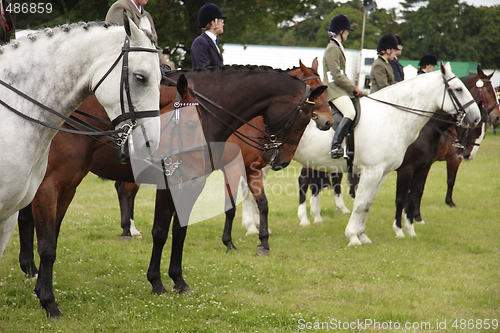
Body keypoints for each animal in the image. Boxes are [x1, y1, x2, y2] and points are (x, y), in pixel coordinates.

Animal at [16, 65, 328, 316]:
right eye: (305, 116)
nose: (280, 160)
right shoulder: (171, 182)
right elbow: (161, 231)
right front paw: (156, 281)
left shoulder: (194, 181)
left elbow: (180, 230)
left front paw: (178, 279)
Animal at [242, 63, 480, 244]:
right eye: (458, 89)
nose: (476, 117)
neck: (392, 115)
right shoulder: (376, 171)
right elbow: (362, 203)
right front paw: (353, 237)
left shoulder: (382, 172)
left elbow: (367, 204)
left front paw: (363, 236)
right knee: (248, 189)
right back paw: (253, 227)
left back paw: (258, 226)